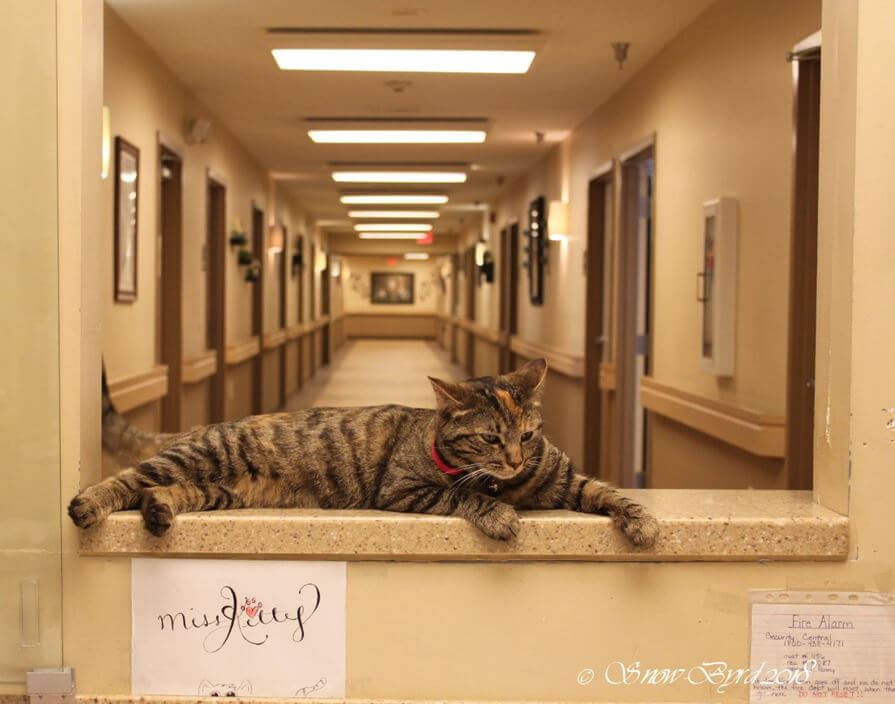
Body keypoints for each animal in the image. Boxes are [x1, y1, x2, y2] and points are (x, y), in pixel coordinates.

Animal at [70, 360, 656, 548]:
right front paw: (500, 515)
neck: (510, 482)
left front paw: (644, 522)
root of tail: (204, 425)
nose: (514, 459)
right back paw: (88, 505)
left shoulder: (566, 479)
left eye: (529, 436)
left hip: (219, 490)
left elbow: (610, 492)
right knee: (128, 478)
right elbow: (462, 497)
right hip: (201, 459)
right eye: (492, 439)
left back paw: (159, 512)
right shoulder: (406, 490)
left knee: (159, 491)